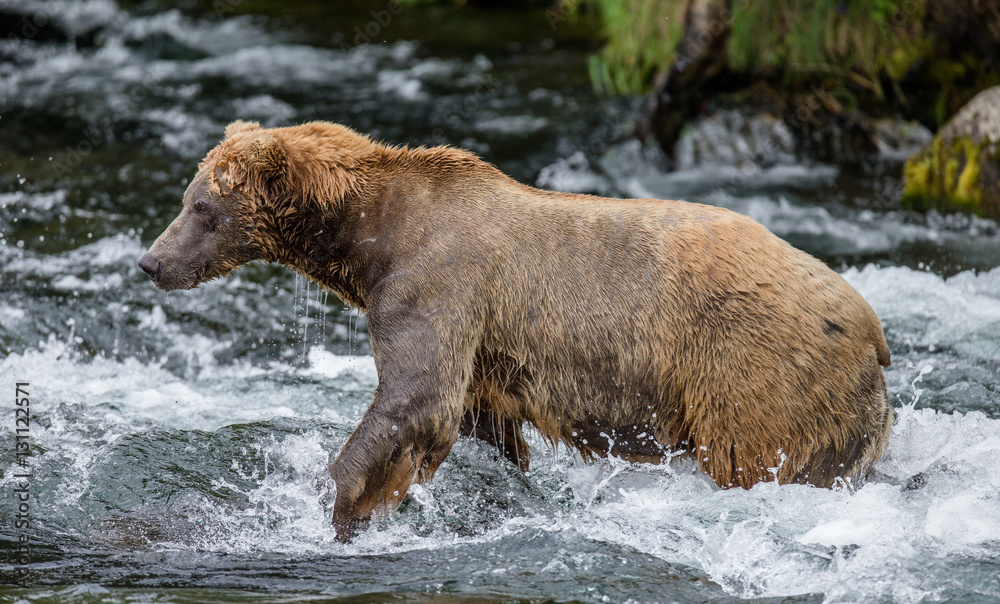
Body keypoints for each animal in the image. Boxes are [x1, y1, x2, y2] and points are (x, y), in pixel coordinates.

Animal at [139, 120, 894, 541]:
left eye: (201, 205)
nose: (151, 261)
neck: (367, 239)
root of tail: (872, 325)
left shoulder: (436, 284)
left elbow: (415, 398)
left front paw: (342, 505)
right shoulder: (485, 349)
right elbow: (479, 421)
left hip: (753, 376)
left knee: (764, 457)